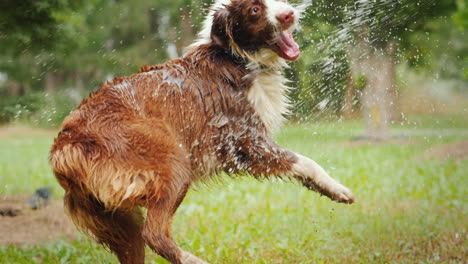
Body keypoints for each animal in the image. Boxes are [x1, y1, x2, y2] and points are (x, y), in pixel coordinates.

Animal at [49, 1, 354, 262]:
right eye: (254, 10)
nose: (289, 14)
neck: (236, 58)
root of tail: (64, 146)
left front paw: (326, 190)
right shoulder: (246, 141)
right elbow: (305, 161)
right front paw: (338, 189)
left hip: (116, 218)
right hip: (173, 164)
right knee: (154, 233)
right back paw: (192, 260)